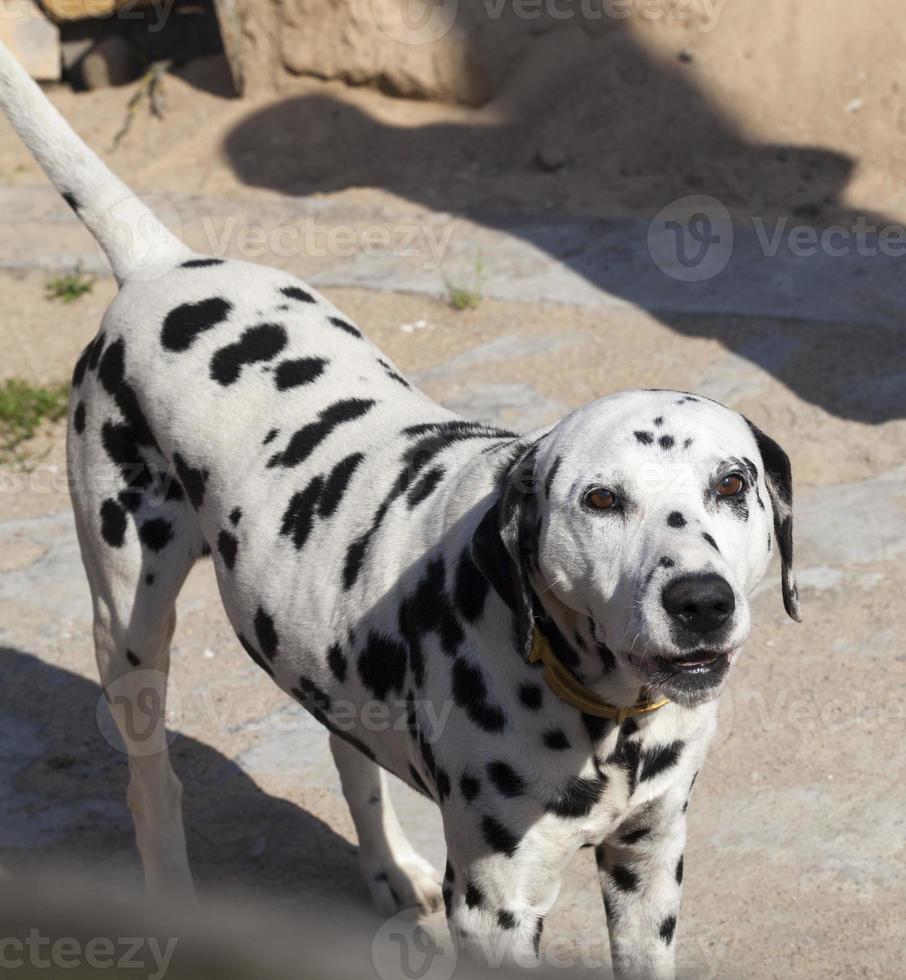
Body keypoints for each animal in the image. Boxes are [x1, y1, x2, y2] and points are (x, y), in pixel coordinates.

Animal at [1, 44, 800, 980]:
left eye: (732, 484)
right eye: (601, 499)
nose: (701, 602)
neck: (603, 717)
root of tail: (163, 265)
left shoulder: (648, 862)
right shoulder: (497, 908)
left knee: (348, 755)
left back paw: (390, 867)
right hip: (127, 627)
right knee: (151, 783)